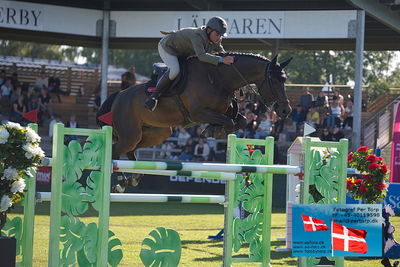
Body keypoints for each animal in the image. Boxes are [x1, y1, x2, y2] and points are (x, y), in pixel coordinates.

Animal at [96, 52, 290, 191]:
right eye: (274, 80)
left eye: (285, 80)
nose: (286, 110)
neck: (219, 78)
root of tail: (119, 95)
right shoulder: (199, 113)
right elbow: (229, 122)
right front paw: (214, 130)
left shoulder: (224, 111)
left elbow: (239, 121)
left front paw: (214, 130)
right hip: (130, 133)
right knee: (116, 151)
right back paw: (120, 182)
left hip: (156, 133)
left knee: (130, 150)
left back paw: (131, 180)